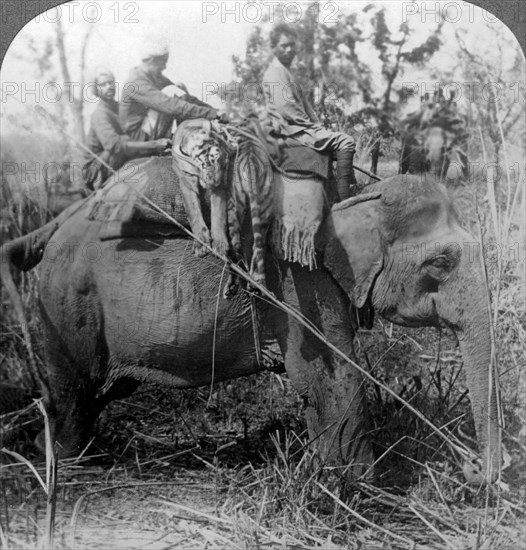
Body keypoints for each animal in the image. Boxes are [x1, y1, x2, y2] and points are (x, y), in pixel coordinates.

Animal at [0, 158, 504, 484]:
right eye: (441, 262)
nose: (473, 471)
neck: (356, 202)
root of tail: (56, 222)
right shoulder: (301, 283)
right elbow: (327, 376)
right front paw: (362, 487)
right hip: (68, 302)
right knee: (75, 389)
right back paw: (65, 462)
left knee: (103, 389)